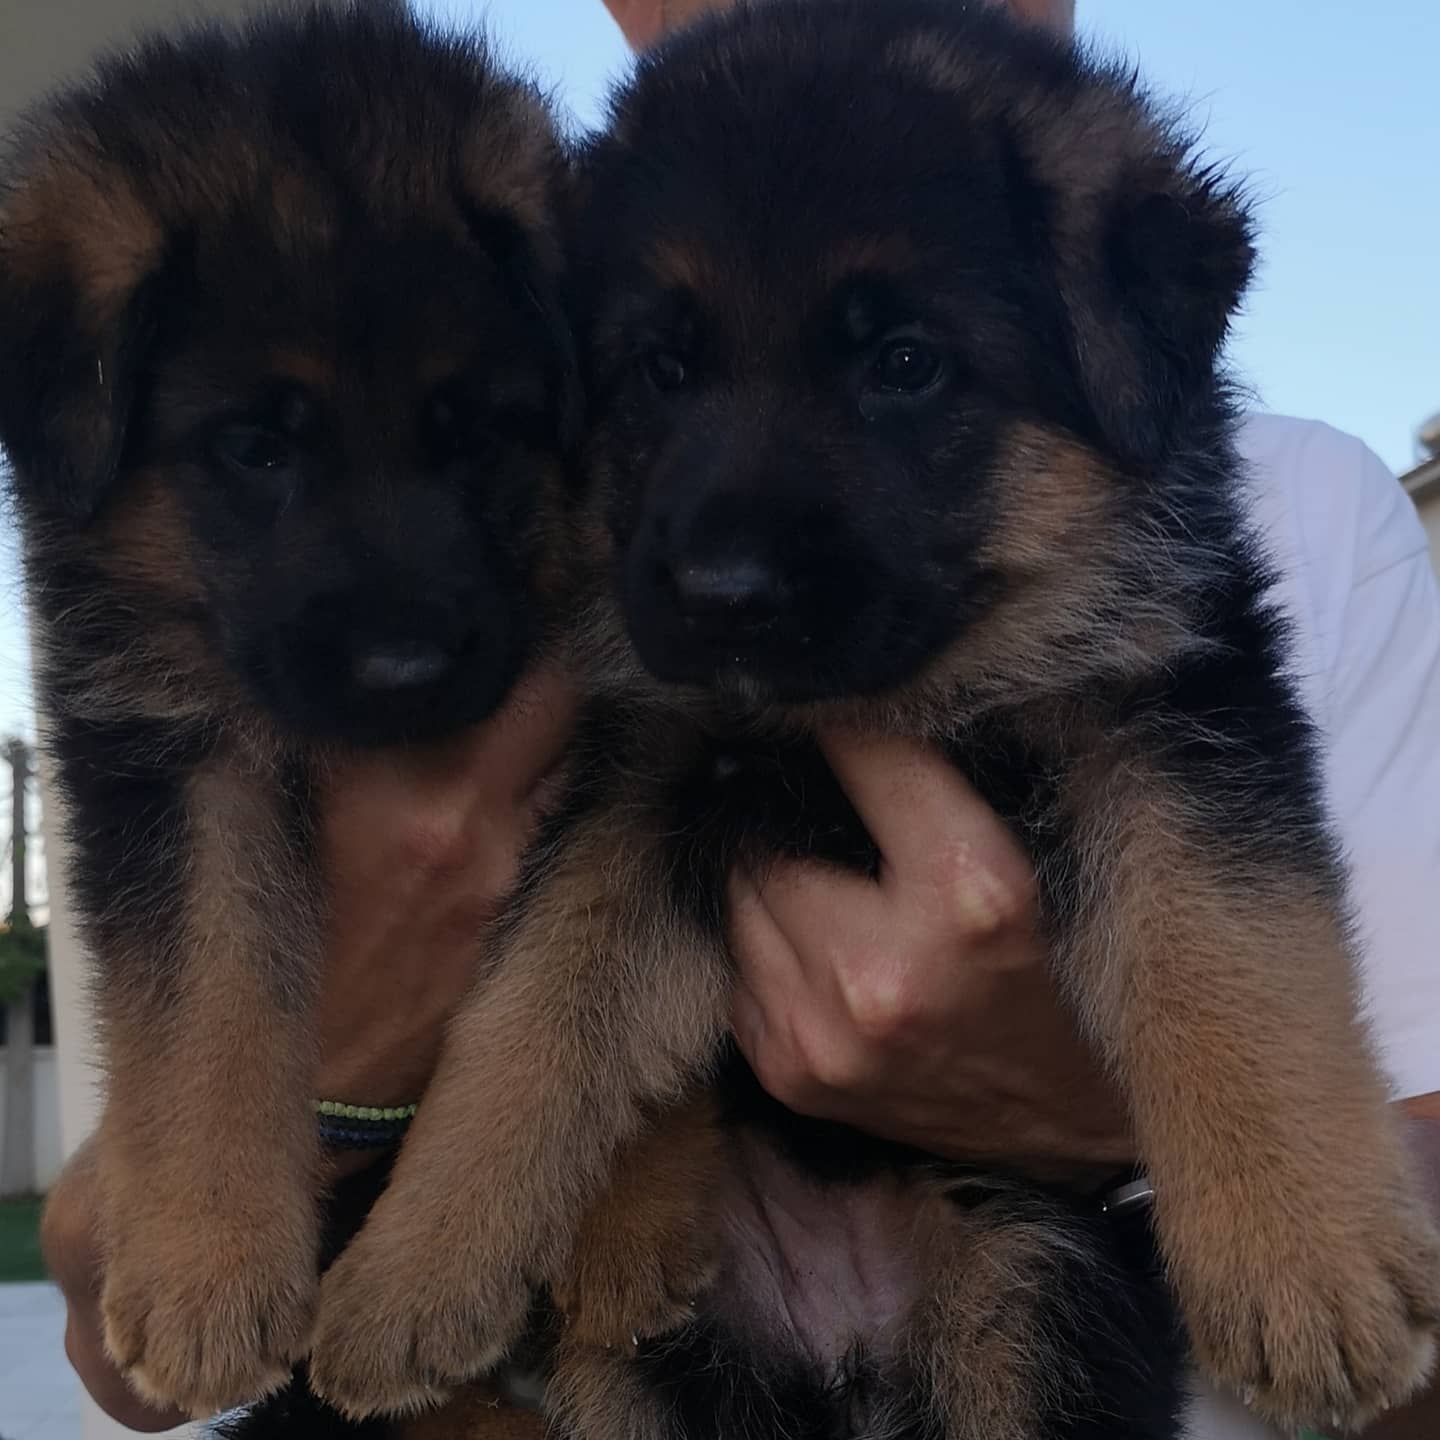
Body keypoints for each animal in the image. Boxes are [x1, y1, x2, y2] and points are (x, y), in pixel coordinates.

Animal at [1, 0, 573, 1416]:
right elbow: (210, 992)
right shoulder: (168, 754)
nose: (407, 672)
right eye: (257, 446)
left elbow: (545, 1012)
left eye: (477, 431)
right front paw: (206, 1272)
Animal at [312, 2, 1440, 1440]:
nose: (719, 597)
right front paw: (408, 1271)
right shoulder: (640, 782)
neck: (904, 690)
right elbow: (523, 1014)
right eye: (661, 369)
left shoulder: (1174, 721)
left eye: (904, 365)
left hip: (1029, 1306)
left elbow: (1225, 956)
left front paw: (1303, 1256)